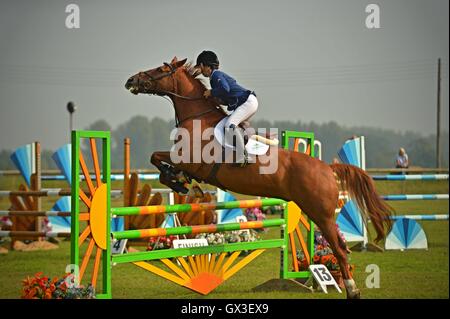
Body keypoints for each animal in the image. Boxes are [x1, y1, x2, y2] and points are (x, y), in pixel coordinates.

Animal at [125, 57, 392, 300]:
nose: (131, 80)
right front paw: (181, 182)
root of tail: (327, 167)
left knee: (339, 248)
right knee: (342, 247)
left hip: (321, 214)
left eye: (160, 69)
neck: (197, 118)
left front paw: (178, 182)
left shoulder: (191, 161)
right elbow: (159, 160)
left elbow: (157, 158)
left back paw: (352, 290)